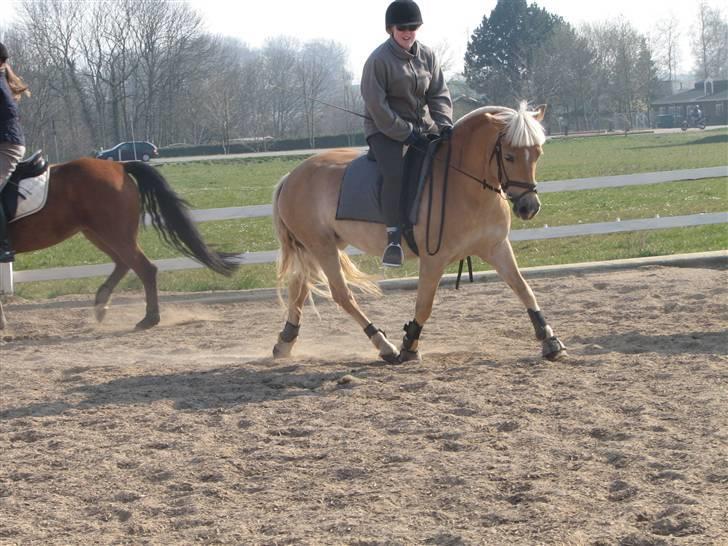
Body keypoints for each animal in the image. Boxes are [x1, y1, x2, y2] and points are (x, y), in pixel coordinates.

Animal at [0, 156, 236, 328]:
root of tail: (119, 165)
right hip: (99, 233)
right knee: (124, 263)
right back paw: (102, 304)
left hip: (114, 233)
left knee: (144, 268)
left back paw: (149, 319)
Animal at [272, 103, 568, 364]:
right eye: (508, 156)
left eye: (538, 153)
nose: (529, 207)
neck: (466, 185)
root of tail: (291, 176)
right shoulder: (434, 259)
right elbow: (424, 305)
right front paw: (409, 347)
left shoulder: (496, 247)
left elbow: (523, 288)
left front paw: (550, 341)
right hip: (320, 246)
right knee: (342, 295)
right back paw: (384, 345)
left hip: (318, 247)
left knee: (299, 287)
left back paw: (285, 342)